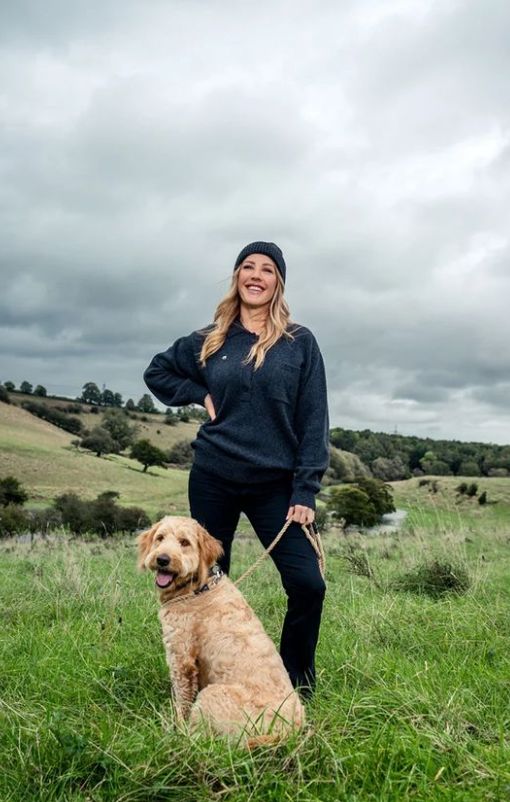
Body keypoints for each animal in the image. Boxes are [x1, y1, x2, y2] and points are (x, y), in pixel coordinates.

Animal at [136, 516, 302, 748]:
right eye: (160, 537)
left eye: (184, 542)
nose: (162, 559)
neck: (198, 588)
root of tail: (288, 732)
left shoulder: (181, 658)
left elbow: (182, 700)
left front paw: (177, 724)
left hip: (212, 694)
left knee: (198, 739)